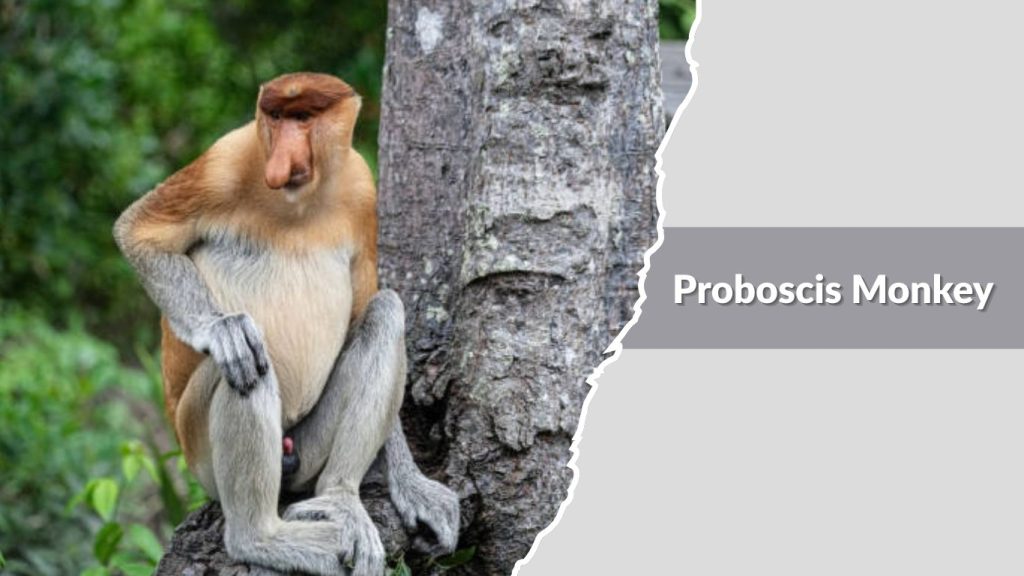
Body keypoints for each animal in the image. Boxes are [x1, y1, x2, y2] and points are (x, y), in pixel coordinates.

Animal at [113, 72, 460, 576]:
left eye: (303, 118)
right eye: (275, 118)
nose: (280, 162)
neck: (300, 202)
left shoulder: (361, 189)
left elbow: (363, 307)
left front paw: (412, 485)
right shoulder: (225, 158)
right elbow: (138, 232)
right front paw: (221, 329)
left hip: (306, 445)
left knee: (385, 313)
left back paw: (340, 499)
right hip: (198, 449)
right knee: (246, 364)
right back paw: (262, 539)